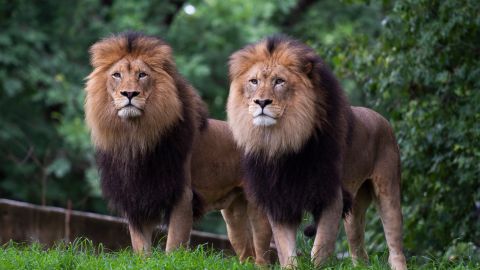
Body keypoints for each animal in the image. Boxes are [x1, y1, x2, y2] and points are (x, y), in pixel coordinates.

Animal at [84, 32, 272, 264]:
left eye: (142, 75)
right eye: (116, 75)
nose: (129, 94)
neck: (135, 137)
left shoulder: (182, 196)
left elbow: (174, 244)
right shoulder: (136, 197)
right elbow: (141, 247)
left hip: (258, 208)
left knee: (263, 254)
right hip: (234, 216)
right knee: (246, 252)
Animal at [227, 35, 406, 270]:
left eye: (279, 81)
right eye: (254, 81)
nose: (262, 102)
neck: (282, 141)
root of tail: (382, 118)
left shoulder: (331, 195)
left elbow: (320, 248)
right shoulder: (280, 199)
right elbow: (286, 251)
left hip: (388, 190)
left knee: (395, 245)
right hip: (355, 206)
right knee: (358, 249)